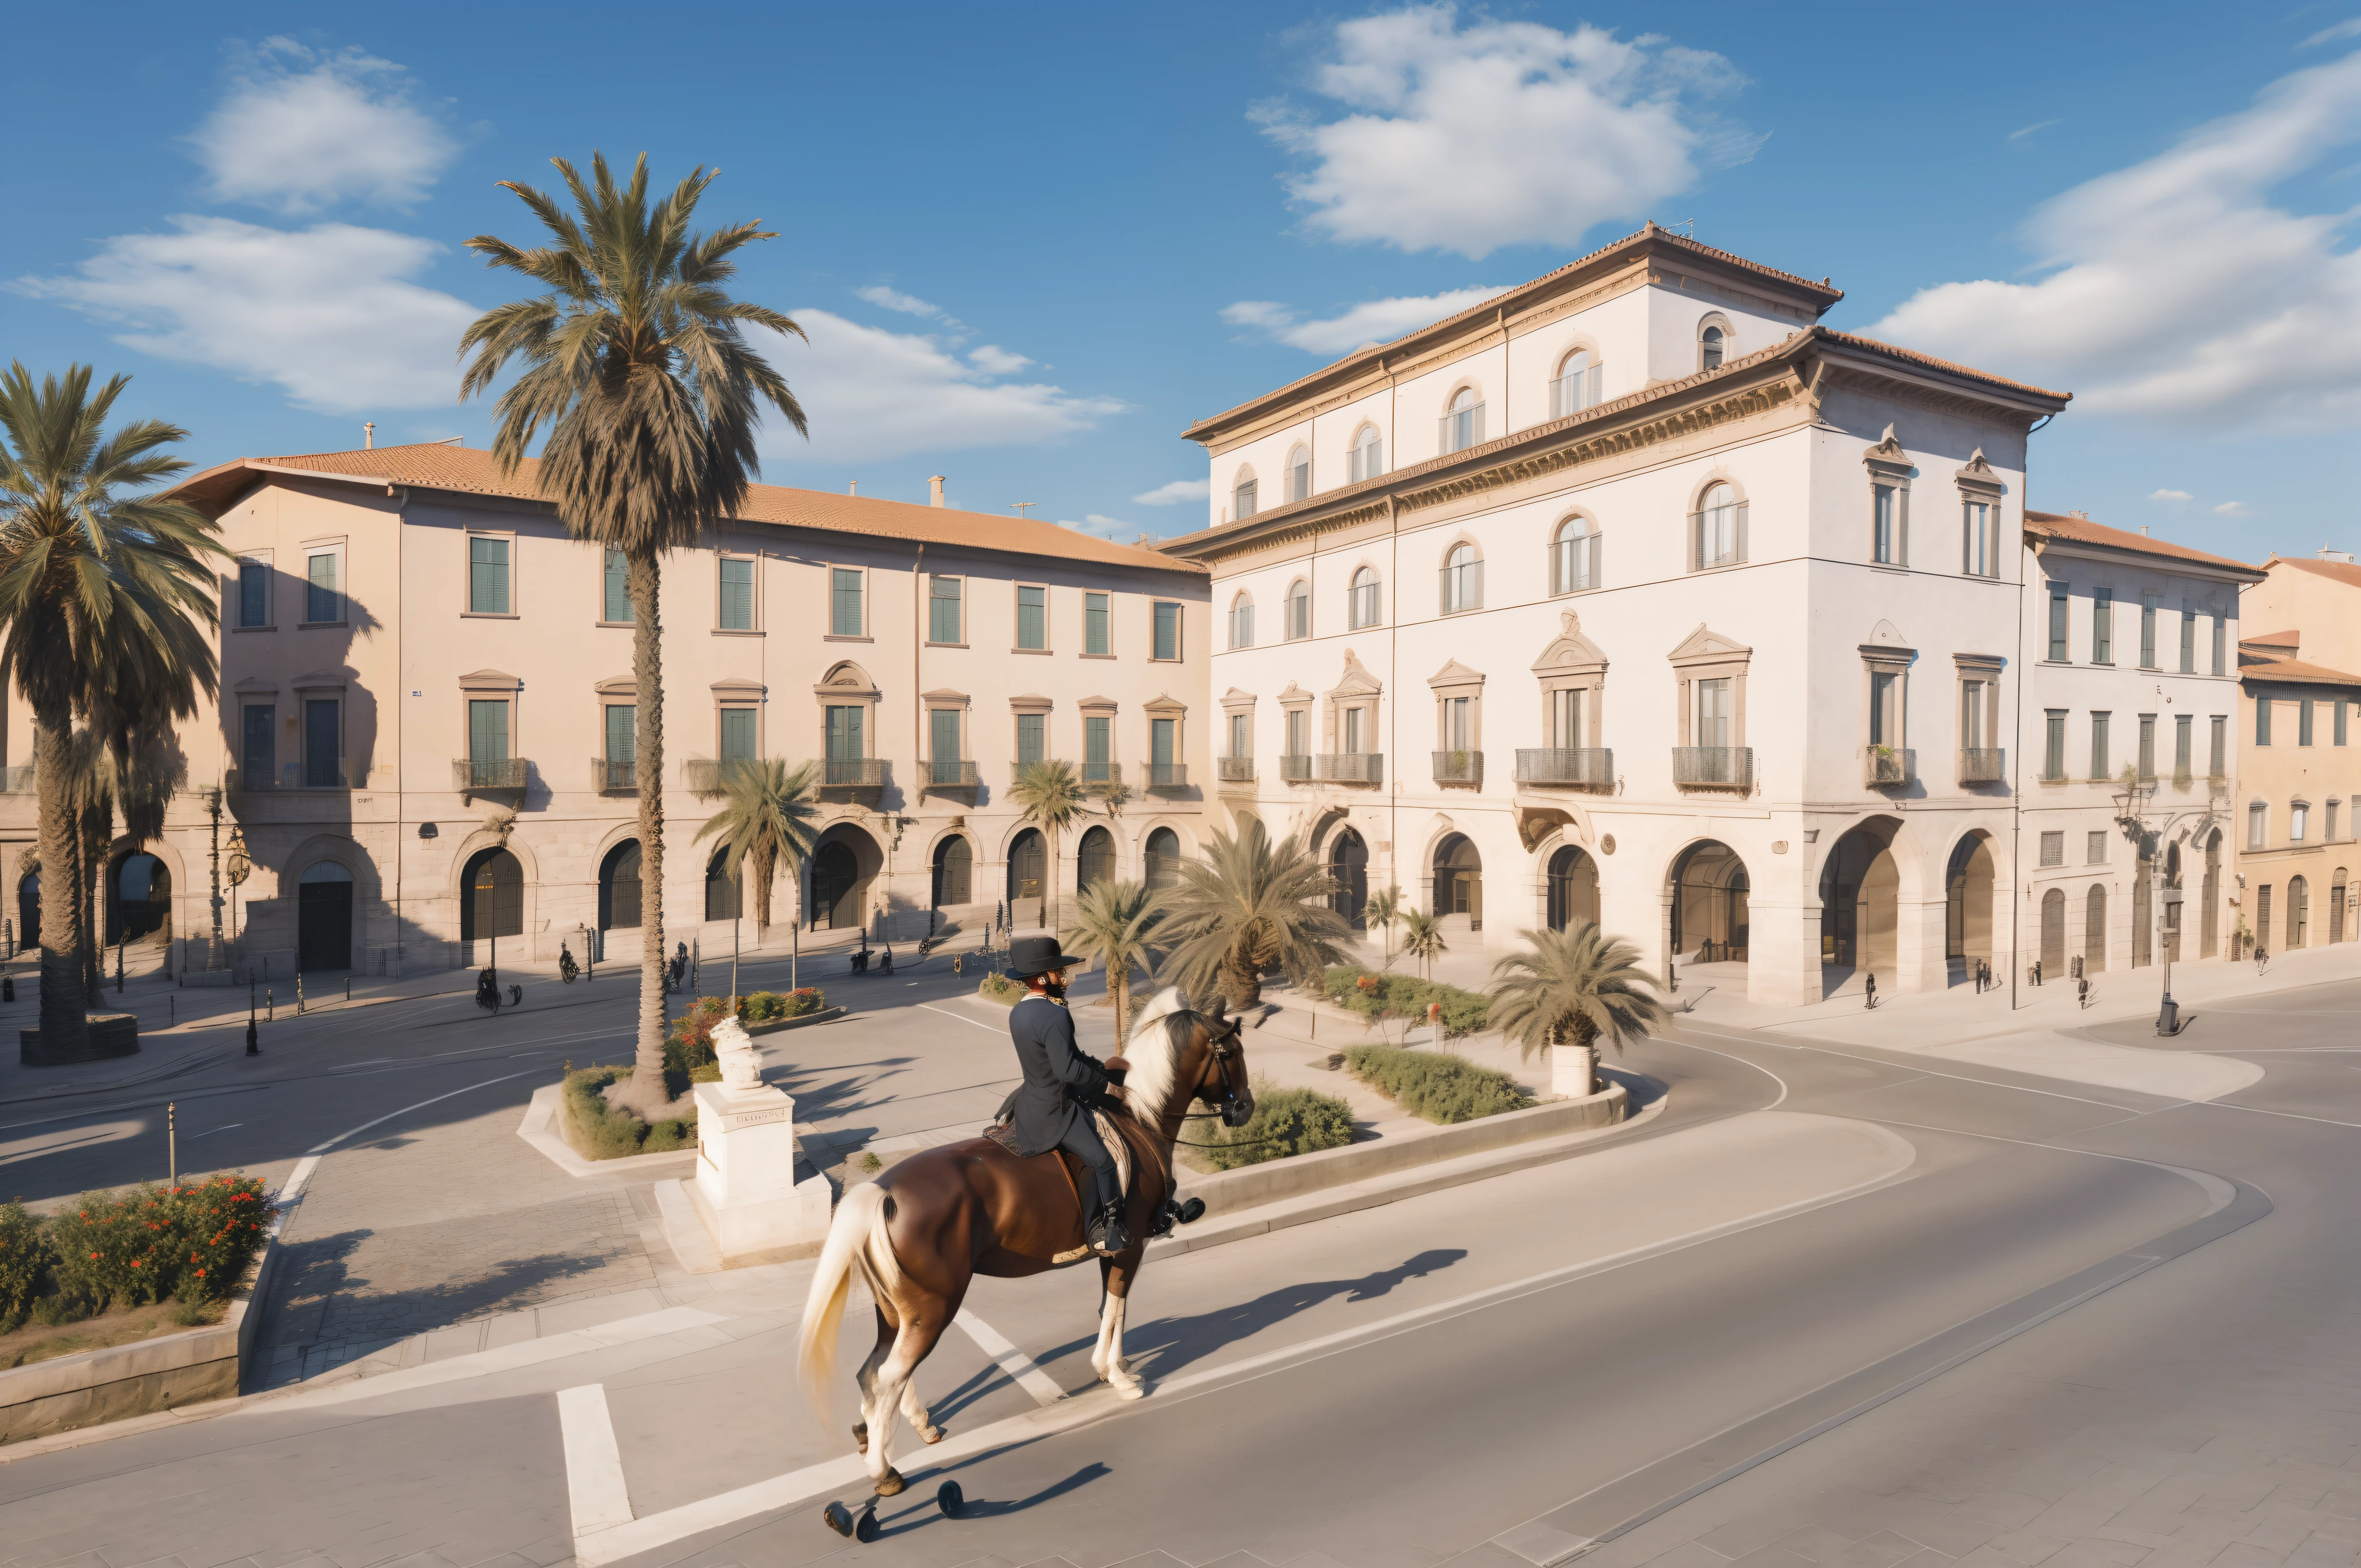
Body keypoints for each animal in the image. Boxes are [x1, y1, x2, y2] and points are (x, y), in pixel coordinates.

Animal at [798, 992, 1256, 1492]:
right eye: (1232, 1052)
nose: (1247, 1108)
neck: (1138, 1119)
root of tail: (884, 1190)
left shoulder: (1114, 1249)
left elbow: (1110, 1308)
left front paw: (1114, 1367)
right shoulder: (1130, 1246)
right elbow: (1117, 1305)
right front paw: (1116, 1375)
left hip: (897, 1310)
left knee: (874, 1371)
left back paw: (902, 1432)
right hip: (933, 1309)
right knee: (888, 1375)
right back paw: (884, 1471)